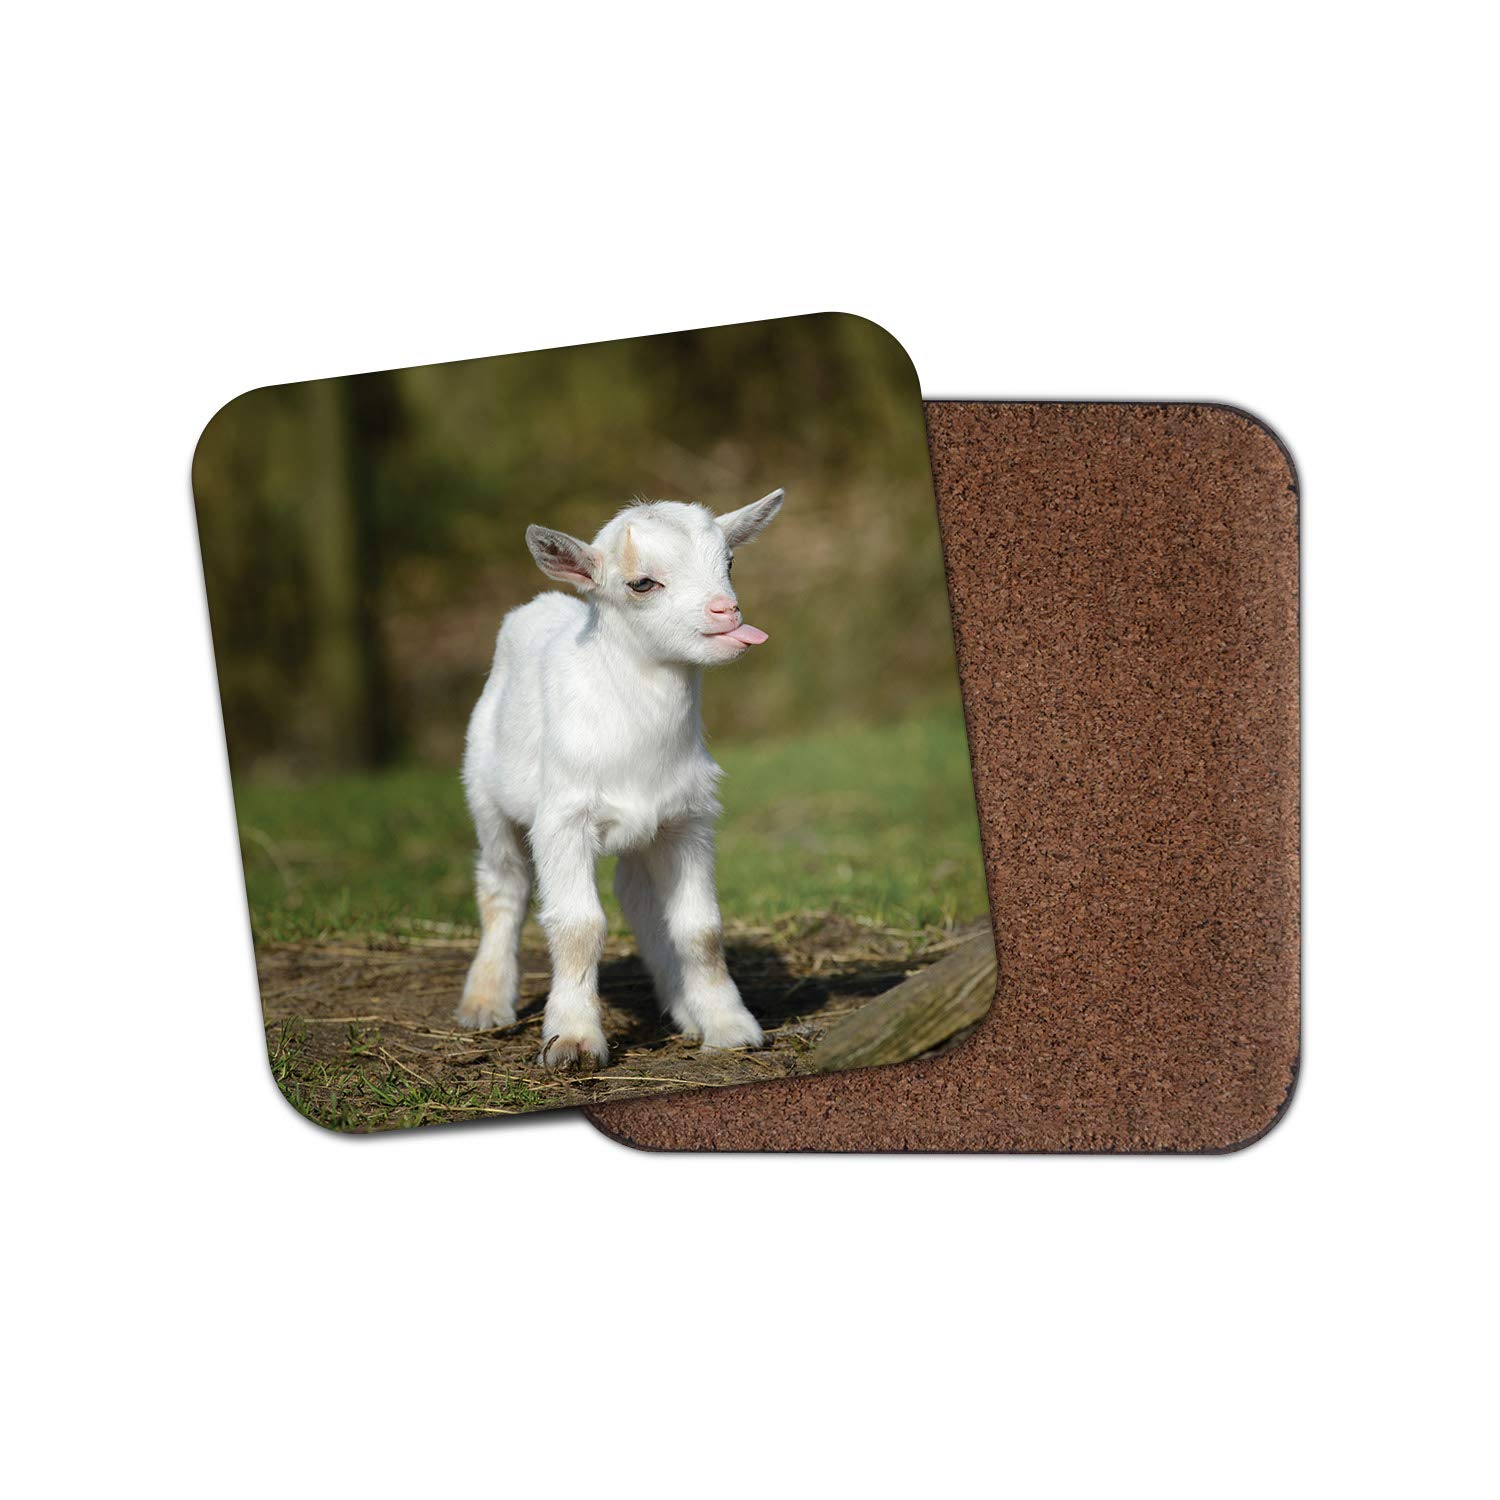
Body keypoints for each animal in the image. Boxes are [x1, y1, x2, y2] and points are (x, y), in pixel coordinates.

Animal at [455, 488, 785, 1069]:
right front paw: (572, 1041)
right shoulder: (563, 819)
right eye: (642, 583)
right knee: (503, 886)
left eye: (729, 562)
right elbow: (579, 926)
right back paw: (486, 1002)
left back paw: (682, 1006)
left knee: (637, 897)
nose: (726, 611)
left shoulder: (688, 820)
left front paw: (728, 1025)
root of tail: (543, 603)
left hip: (643, 833)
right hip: (486, 799)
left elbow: (700, 928)